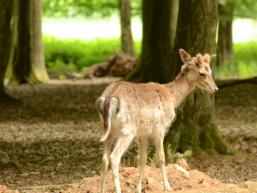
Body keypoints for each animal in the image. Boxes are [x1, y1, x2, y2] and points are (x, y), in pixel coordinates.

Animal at [95, 49, 217, 192]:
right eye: (202, 73)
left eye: (210, 70)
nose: (215, 88)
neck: (172, 98)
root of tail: (108, 98)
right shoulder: (160, 128)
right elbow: (162, 157)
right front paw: (168, 186)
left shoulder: (143, 133)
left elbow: (142, 159)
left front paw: (138, 188)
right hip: (128, 130)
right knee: (114, 157)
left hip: (108, 129)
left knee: (104, 159)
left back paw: (102, 189)